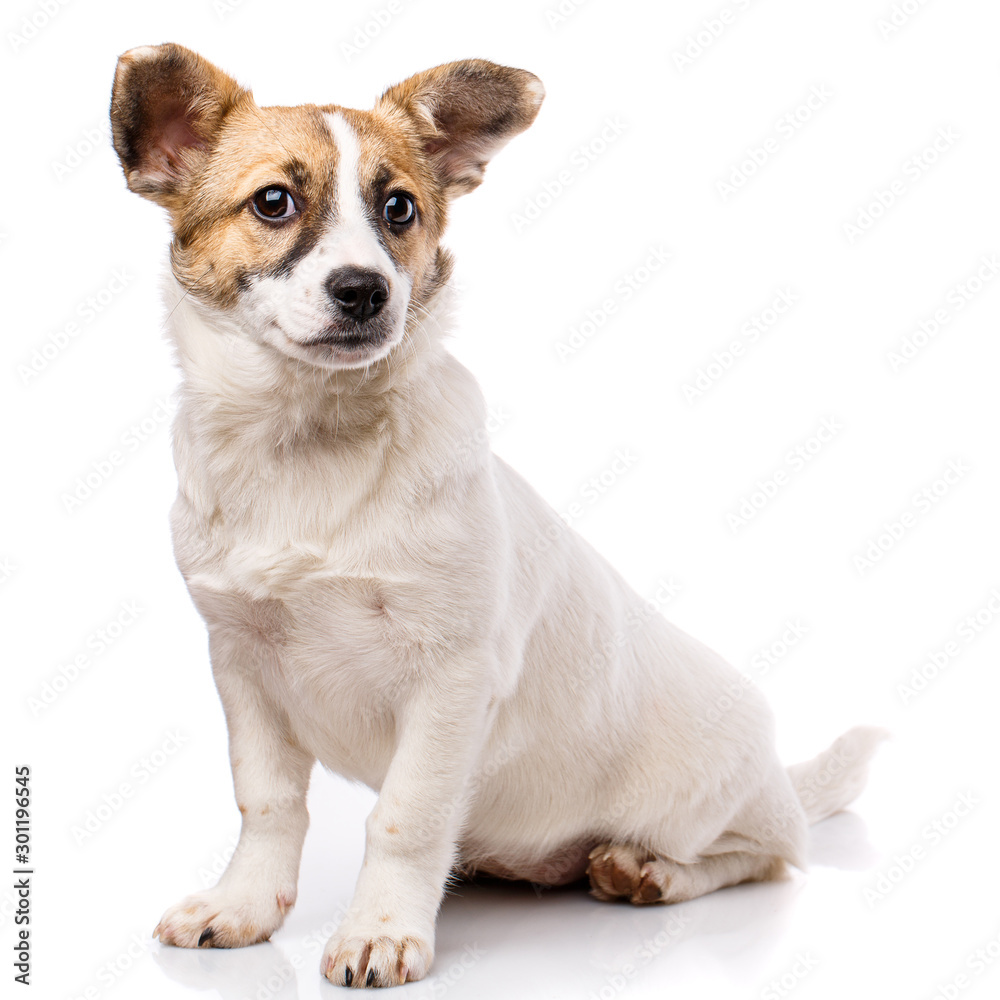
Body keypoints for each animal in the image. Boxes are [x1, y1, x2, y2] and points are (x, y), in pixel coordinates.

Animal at [113, 45, 888, 984]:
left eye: (400, 208)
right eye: (273, 202)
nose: (364, 291)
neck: (312, 442)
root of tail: (778, 773)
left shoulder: (450, 678)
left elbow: (404, 819)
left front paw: (381, 929)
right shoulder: (243, 665)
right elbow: (267, 804)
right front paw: (245, 906)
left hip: (709, 810)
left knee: (769, 854)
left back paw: (649, 869)